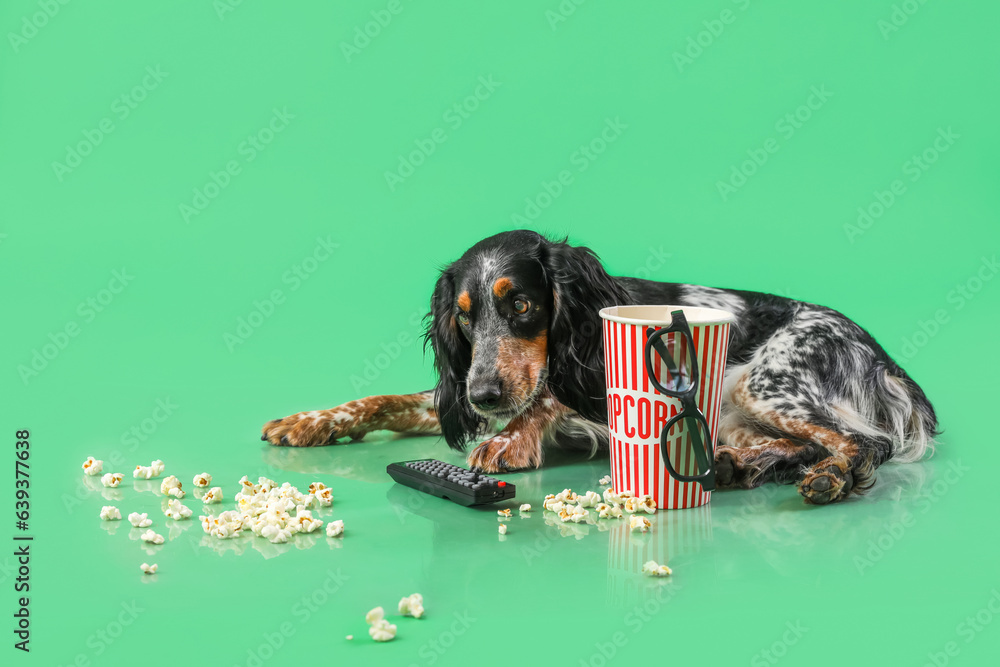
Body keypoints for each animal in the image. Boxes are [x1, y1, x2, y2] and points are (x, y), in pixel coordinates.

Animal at [264, 231, 936, 506]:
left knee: (863, 444)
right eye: (463, 317)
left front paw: (509, 441)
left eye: (523, 305)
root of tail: (884, 359)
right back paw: (740, 466)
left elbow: (547, 395)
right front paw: (309, 421)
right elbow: (380, 401)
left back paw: (829, 480)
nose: (484, 396)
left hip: (765, 383)